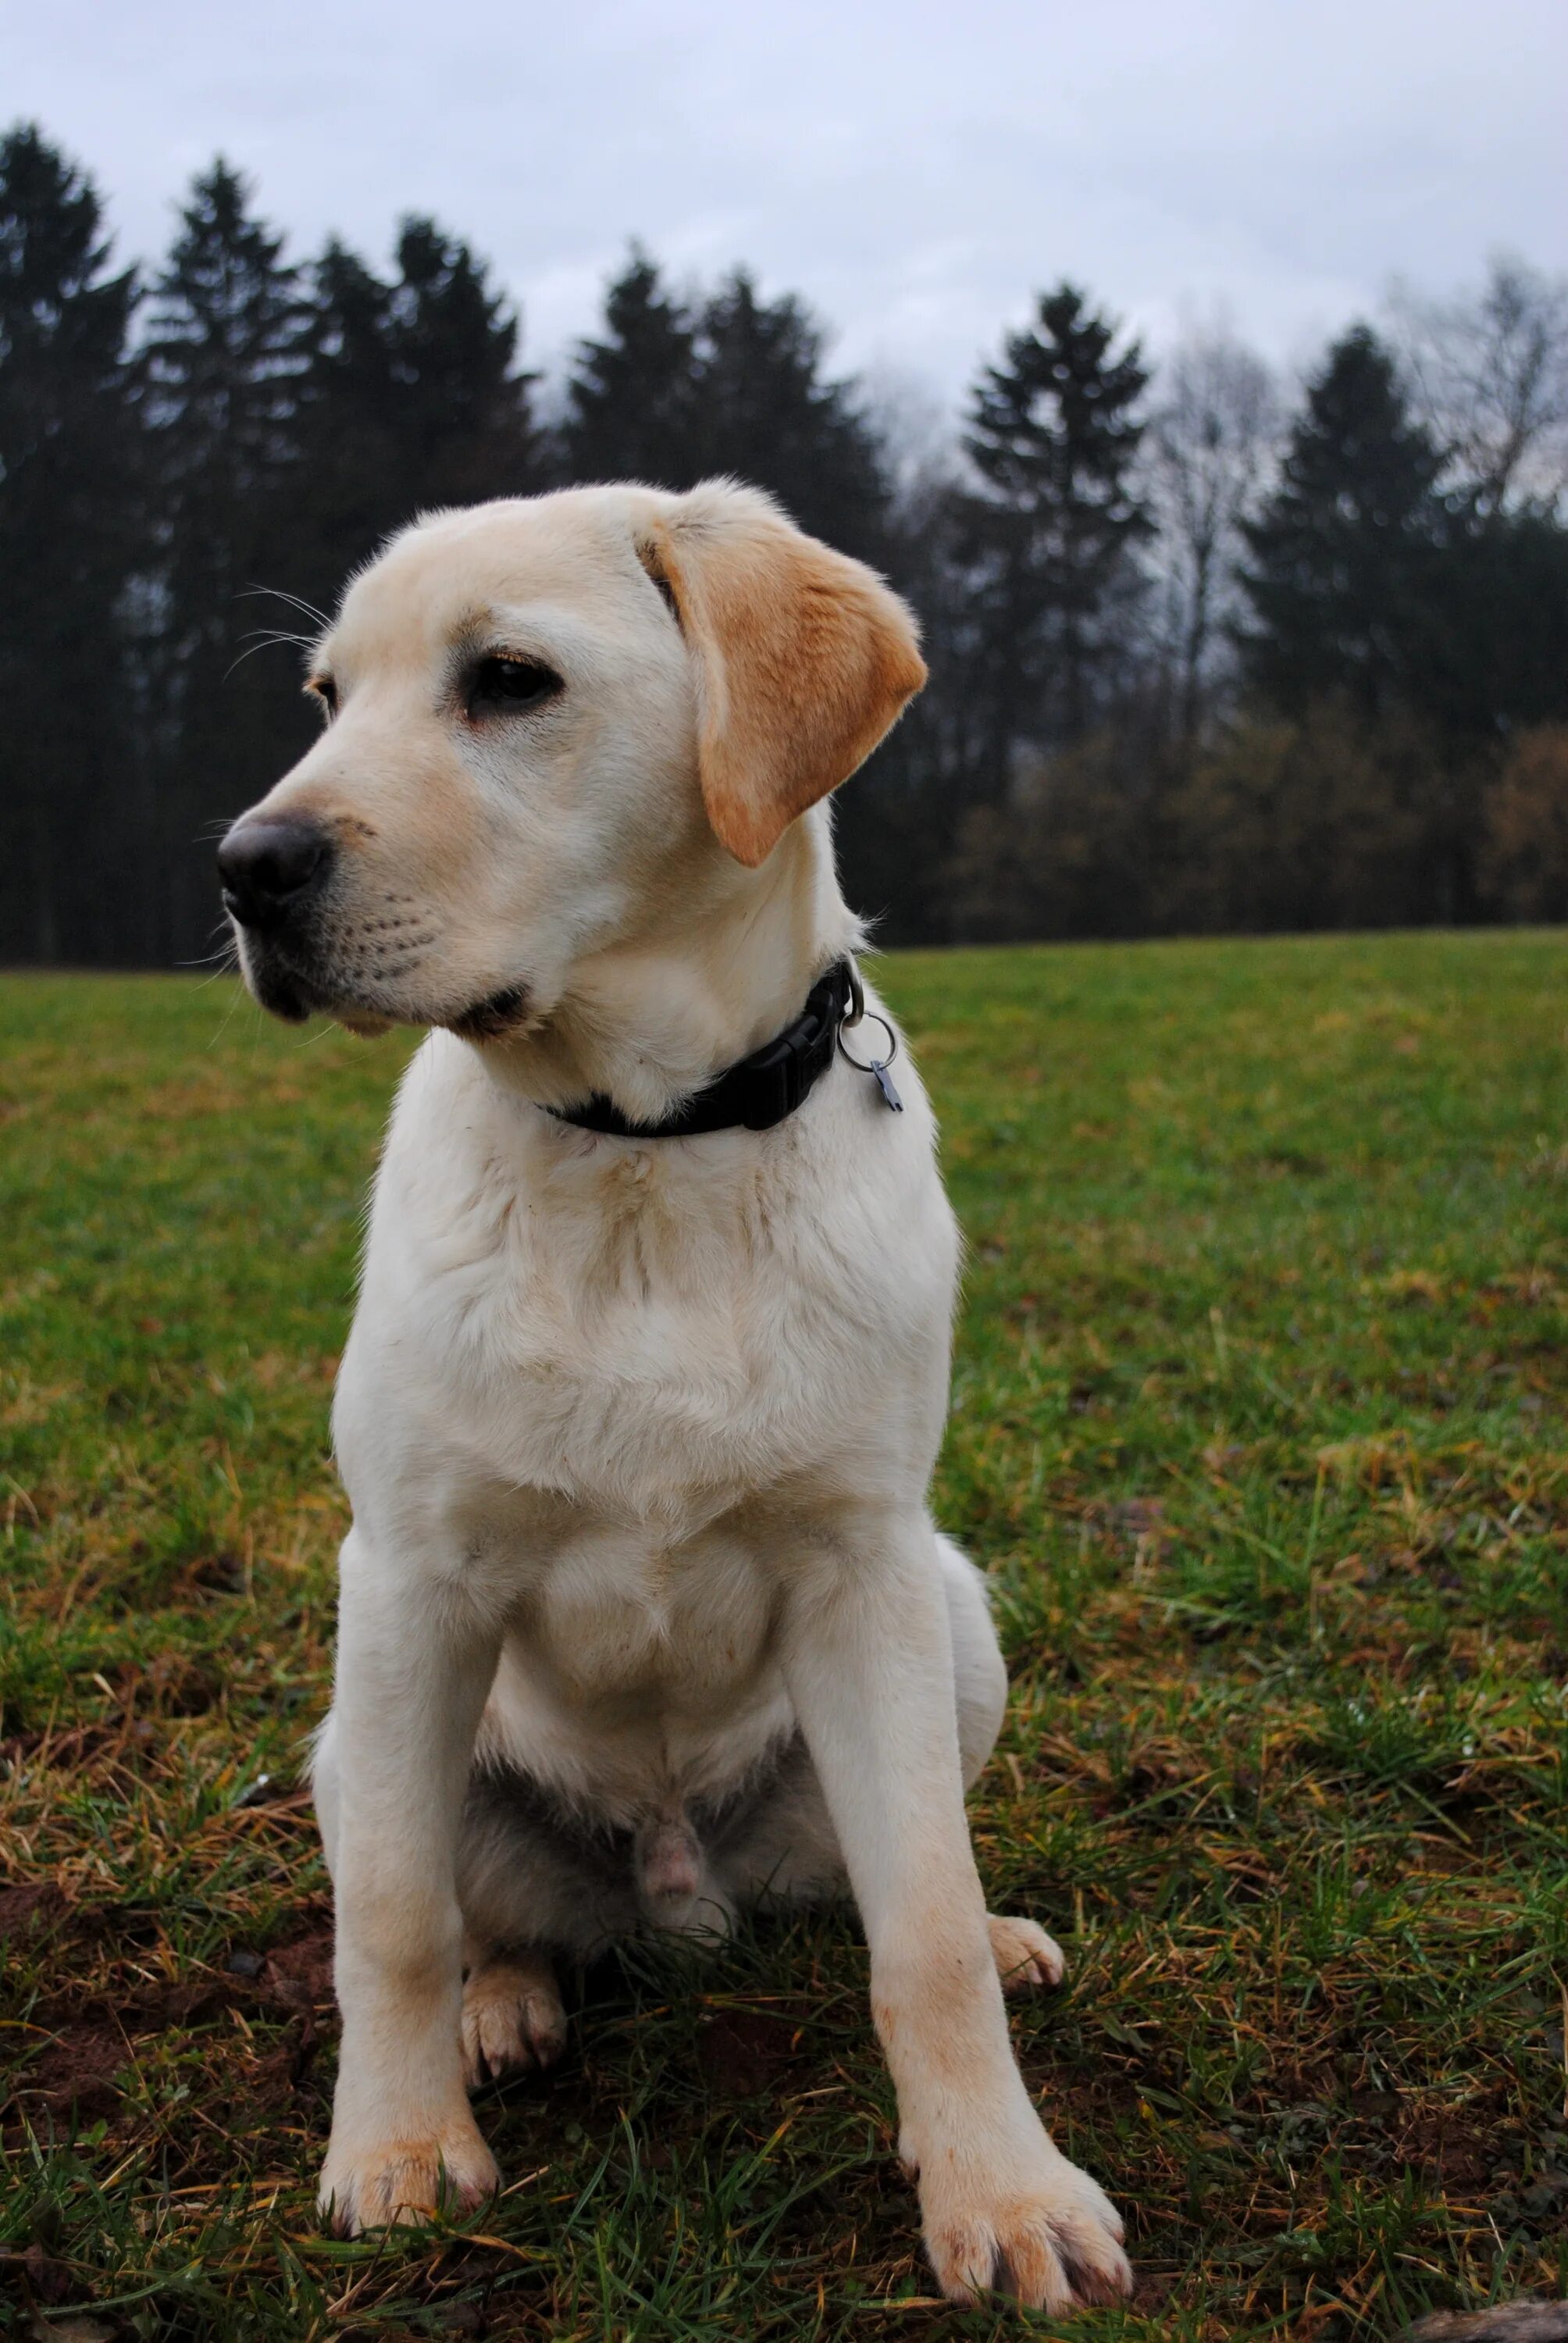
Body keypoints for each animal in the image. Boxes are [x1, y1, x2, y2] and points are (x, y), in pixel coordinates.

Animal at [214, 476, 1129, 2306]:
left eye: (509, 681)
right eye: (327, 700)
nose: (243, 868)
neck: (644, 1149)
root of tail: (672, 1885)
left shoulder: (863, 1571)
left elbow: (920, 1928)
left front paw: (999, 2192)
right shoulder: (406, 1579)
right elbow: (394, 1924)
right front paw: (395, 2152)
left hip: (953, 1617)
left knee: (872, 1888)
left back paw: (995, 1931)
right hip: (355, 1738)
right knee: (472, 1914)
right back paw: (499, 2018)